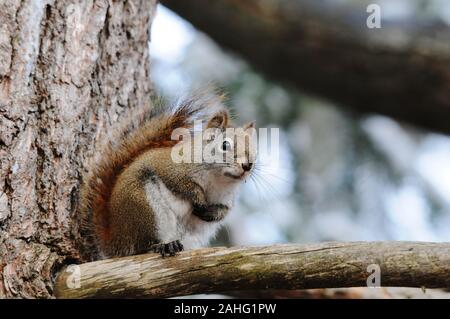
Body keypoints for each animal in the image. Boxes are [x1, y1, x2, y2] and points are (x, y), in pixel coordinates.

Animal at [78, 94, 256, 260]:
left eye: (254, 149)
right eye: (225, 145)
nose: (248, 165)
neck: (218, 179)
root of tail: (115, 242)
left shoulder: (226, 198)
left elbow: (224, 210)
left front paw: (210, 212)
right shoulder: (171, 169)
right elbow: (182, 185)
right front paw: (199, 200)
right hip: (143, 208)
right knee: (143, 246)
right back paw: (164, 246)